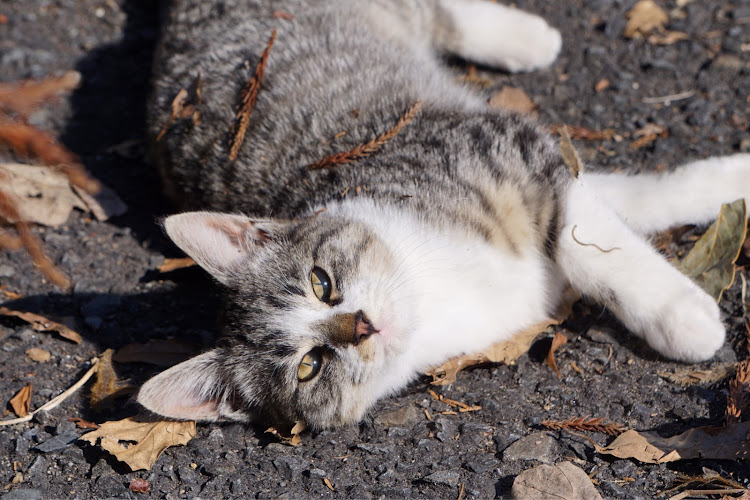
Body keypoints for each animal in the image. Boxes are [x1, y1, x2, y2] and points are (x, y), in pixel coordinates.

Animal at [138, 0, 750, 430]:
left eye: (321, 282)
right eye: (310, 366)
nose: (360, 326)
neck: (433, 293)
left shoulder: (511, 151)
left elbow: (597, 235)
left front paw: (682, 304)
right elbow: (608, 216)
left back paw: (524, 36)